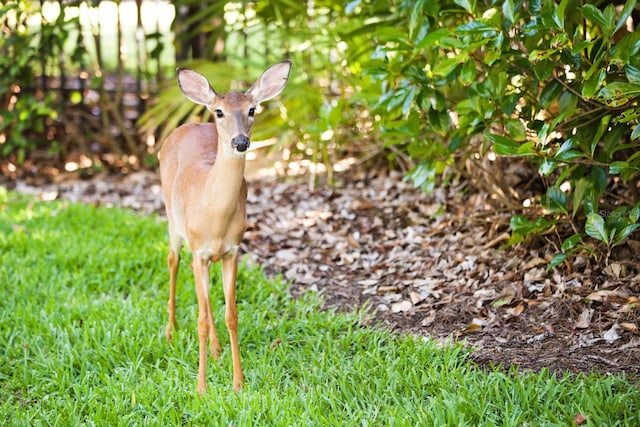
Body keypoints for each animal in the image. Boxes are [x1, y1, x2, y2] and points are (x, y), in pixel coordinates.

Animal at [158, 60, 292, 394]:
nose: (240, 141)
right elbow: (201, 320)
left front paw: (238, 383)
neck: (214, 216)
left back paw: (217, 351)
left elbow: (230, 314)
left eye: (252, 109)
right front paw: (201, 388)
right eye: (219, 112)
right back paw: (170, 331)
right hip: (172, 219)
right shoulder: (199, 250)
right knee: (173, 261)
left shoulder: (232, 251)